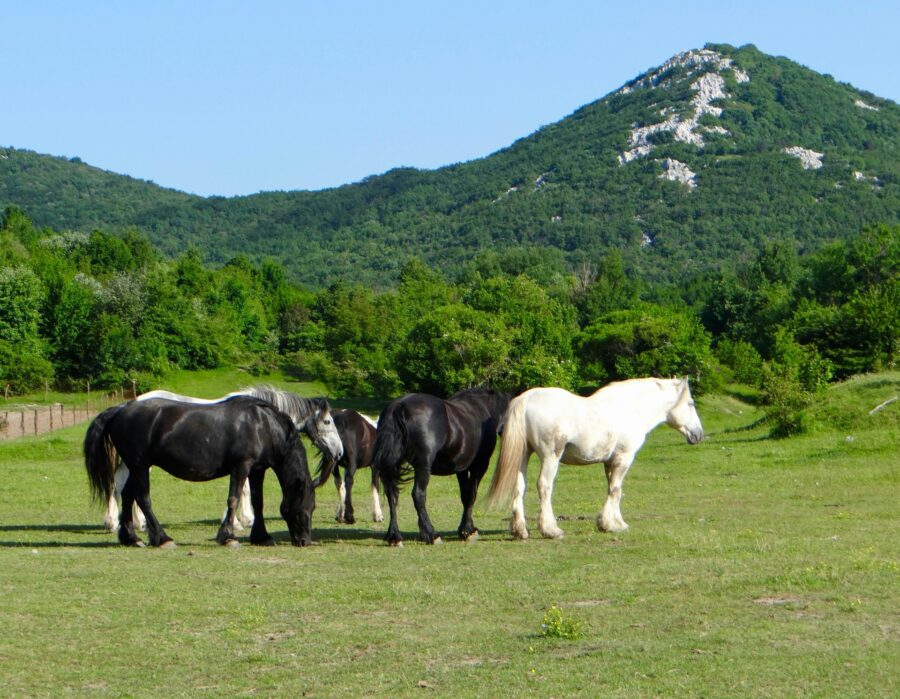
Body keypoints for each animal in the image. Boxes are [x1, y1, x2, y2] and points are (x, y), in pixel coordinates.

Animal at [103, 385, 343, 533]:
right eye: (328, 422)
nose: (339, 452)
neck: (261, 418)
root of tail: (127, 405)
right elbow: (242, 491)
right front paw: (240, 520)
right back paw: (120, 523)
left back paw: (129, 523)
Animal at [373, 388, 510, 546]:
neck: (484, 408)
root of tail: (398, 407)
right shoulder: (479, 465)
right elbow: (471, 495)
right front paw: (469, 531)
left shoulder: (461, 469)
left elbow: (465, 496)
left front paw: (464, 530)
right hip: (422, 466)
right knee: (418, 495)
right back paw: (432, 534)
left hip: (393, 466)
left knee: (392, 496)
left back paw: (395, 536)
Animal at [485, 377, 704, 540]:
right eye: (690, 404)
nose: (699, 434)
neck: (630, 409)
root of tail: (527, 398)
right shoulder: (624, 458)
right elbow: (615, 490)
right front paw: (609, 524)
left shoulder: (610, 462)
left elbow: (614, 489)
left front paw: (616, 522)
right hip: (550, 457)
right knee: (544, 486)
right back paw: (550, 530)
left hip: (523, 455)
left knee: (519, 487)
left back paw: (520, 530)